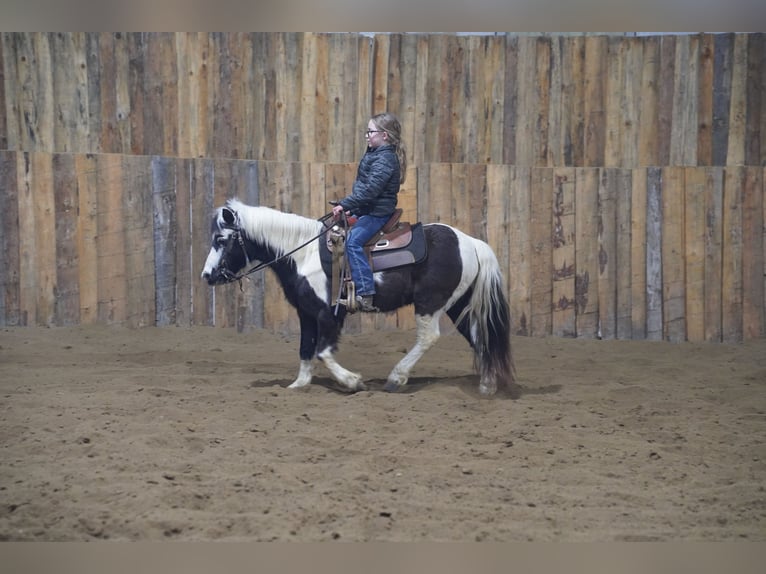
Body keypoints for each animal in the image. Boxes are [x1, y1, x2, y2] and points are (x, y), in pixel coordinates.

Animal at [200, 198, 514, 396]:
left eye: (221, 240)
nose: (207, 276)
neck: (303, 254)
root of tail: (472, 242)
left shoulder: (329, 315)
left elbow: (323, 352)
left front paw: (352, 382)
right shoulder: (306, 313)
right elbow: (305, 348)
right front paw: (299, 384)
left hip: (431, 302)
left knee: (429, 337)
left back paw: (396, 378)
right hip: (458, 303)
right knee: (480, 336)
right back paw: (487, 386)